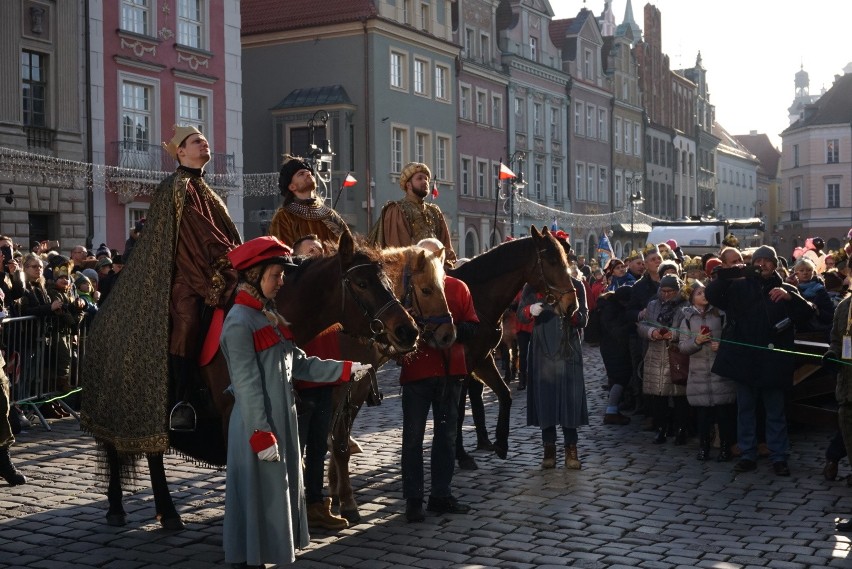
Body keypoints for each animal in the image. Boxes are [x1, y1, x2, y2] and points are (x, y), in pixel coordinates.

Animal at [103, 230, 420, 528]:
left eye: (388, 281)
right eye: (362, 284)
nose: (408, 331)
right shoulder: (237, 411)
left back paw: (164, 512)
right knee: (121, 450)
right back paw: (126, 509)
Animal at [322, 244, 452, 520]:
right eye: (426, 290)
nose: (449, 335)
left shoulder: (357, 388)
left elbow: (338, 440)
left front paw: (336, 490)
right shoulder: (336, 390)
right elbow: (332, 441)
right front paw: (343, 499)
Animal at [446, 224, 580, 460]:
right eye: (552, 261)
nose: (571, 305)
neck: (474, 297)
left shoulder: (482, 359)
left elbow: (504, 394)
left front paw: (500, 443)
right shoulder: (465, 364)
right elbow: (459, 411)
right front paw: (461, 454)